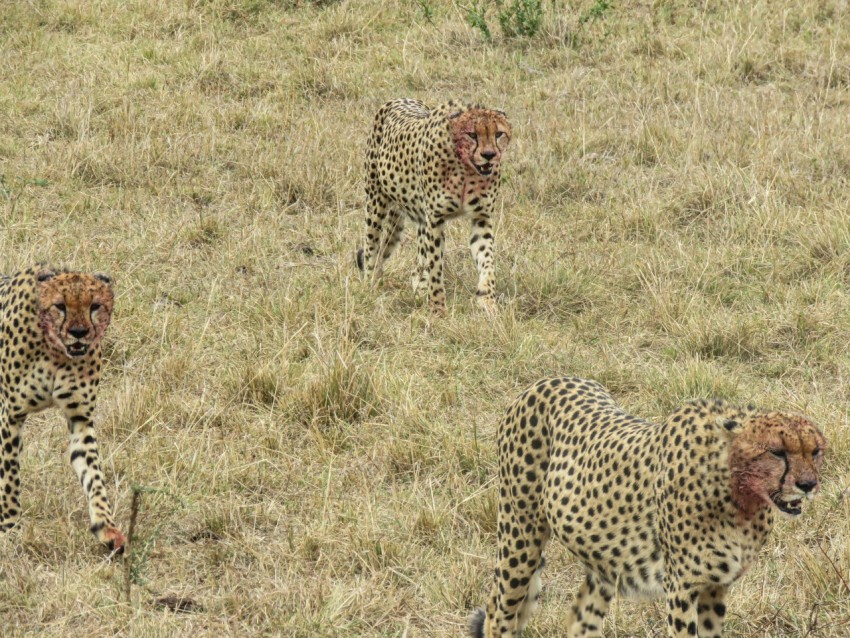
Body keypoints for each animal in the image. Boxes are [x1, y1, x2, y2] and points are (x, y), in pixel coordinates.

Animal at [0, 268, 126, 552]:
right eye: (60, 306)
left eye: (94, 306)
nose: (79, 332)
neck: (55, 351)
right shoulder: (9, 415)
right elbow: (9, 476)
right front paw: (9, 527)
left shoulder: (80, 418)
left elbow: (93, 474)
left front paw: (106, 527)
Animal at [352, 99, 510, 316]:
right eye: (472, 134)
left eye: (498, 134)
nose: (489, 155)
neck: (466, 169)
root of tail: (399, 99)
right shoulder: (435, 219)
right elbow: (435, 265)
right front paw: (437, 308)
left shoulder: (481, 217)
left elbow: (487, 261)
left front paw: (488, 302)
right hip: (376, 203)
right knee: (371, 249)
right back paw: (371, 285)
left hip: (418, 218)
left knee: (416, 265)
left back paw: (419, 291)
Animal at [468, 378, 824, 636]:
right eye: (776, 452)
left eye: (816, 451)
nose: (808, 485)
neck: (738, 494)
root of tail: (545, 381)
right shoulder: (681, 585)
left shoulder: (715, 586)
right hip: (519, 535)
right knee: (498, 614)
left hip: (601, 557)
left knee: (580, 618)